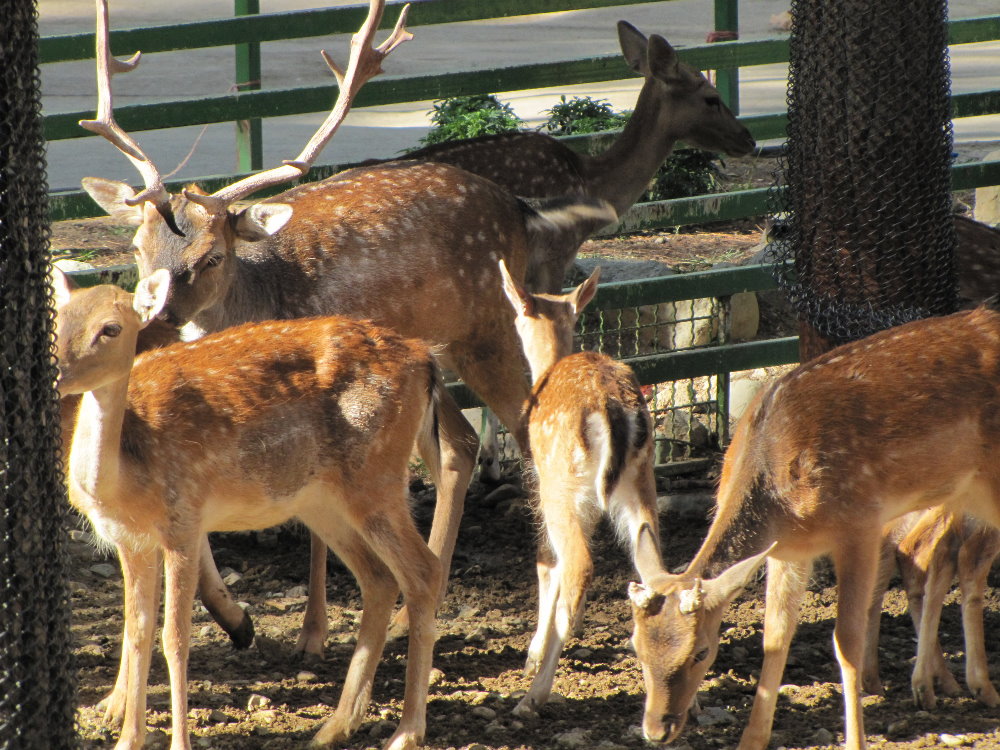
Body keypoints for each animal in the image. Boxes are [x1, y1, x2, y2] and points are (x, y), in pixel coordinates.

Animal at [53, 267, 445, 750]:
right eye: (59, 318)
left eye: (110, 328)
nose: (58, 373)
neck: (126, 477)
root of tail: (426, 358)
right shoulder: (130, 541)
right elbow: (136, 632)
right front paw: (127, 739)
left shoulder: (183, 522)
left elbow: (174, 638)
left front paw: (178, 742)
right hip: (323, 501)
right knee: (378, 578)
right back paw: (335, 726)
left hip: (379, 477)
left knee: (423, 572)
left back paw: (406, 731)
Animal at [78, 0, 615, 659]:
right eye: (136, 247)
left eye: (212, 258)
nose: (152, 320)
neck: (266, 293)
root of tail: (519, 208)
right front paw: (239, 619)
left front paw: (311, 632)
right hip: (437, 351)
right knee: (459, 445)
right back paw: (423, 602)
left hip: (487, 328)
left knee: (524, 431)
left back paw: (553, 620)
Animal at [495, 259, 671, 718]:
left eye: (516, 316)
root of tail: (613, 408)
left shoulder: (543, 482)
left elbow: (546, 563)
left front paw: (532, 653)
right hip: (638, 480)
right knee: (657, 569)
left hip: (562, 481)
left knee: (578, 566)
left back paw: (533, 694)